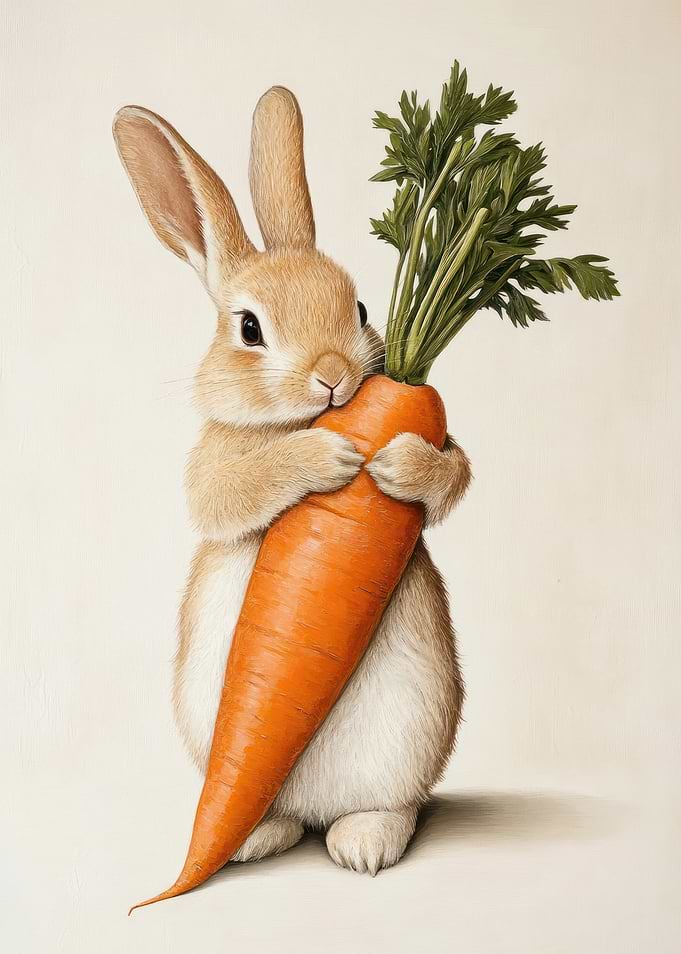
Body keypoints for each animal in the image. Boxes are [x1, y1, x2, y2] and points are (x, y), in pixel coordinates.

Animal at [113, 86, 471, 876]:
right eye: (249, 329)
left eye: (360, 309)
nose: (334, 376)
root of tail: (311, 811)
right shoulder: (214, 468)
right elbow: (230, 492)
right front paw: (327, 457)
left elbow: (454, 472)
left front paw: (395, 463)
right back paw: (256, 839)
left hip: (411, 734)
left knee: (391, 806)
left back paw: (362, 846)